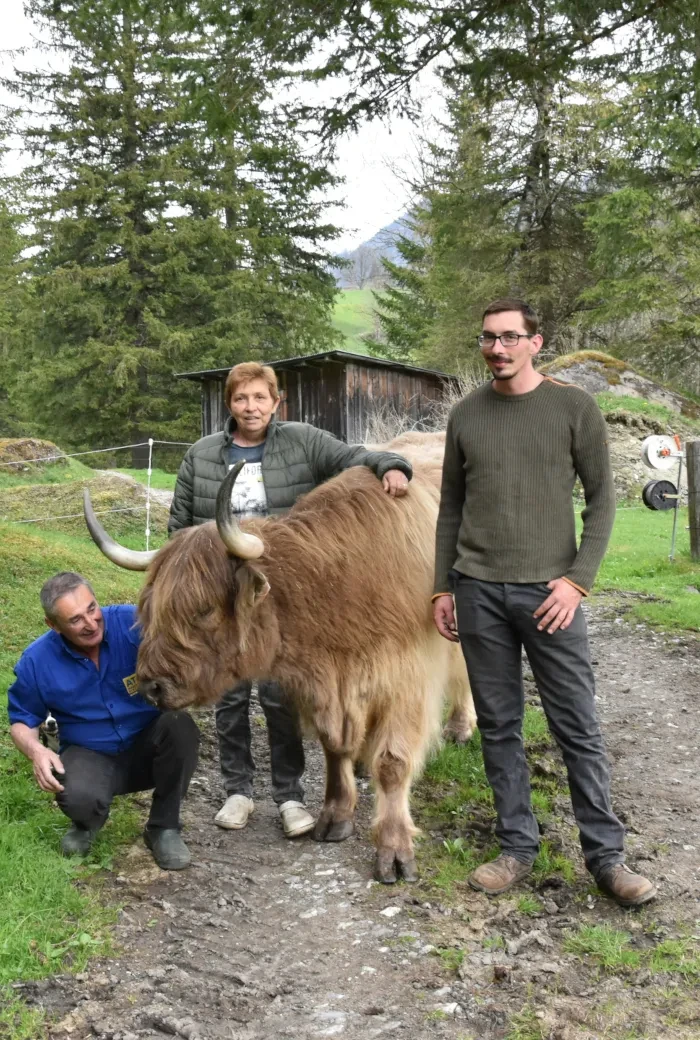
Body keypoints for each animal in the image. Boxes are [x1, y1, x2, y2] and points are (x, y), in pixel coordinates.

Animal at [83, 457, 474, 886]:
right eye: (150, 607)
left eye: (203, 609)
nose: (151, 685)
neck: (339, 585)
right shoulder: (325, 687)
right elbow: (334, 745)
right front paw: (336, 816)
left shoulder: (407, 680)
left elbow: (393, 762)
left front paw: (394, 850)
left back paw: (460, 727)